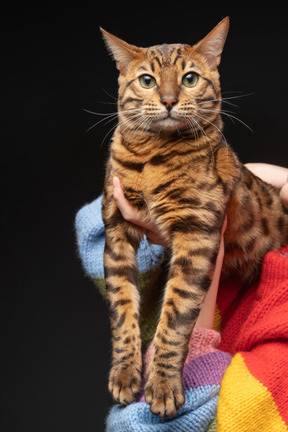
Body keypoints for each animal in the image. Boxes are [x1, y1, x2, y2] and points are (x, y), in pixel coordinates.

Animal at [99, 17, 288, 418]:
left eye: (189, 78)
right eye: (147, 80)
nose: (170, 100)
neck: (151, 157)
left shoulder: (197, 231)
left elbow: (176, 316)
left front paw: (163, 386)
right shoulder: (115, 228)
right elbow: (122, 309)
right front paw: (124, 373)